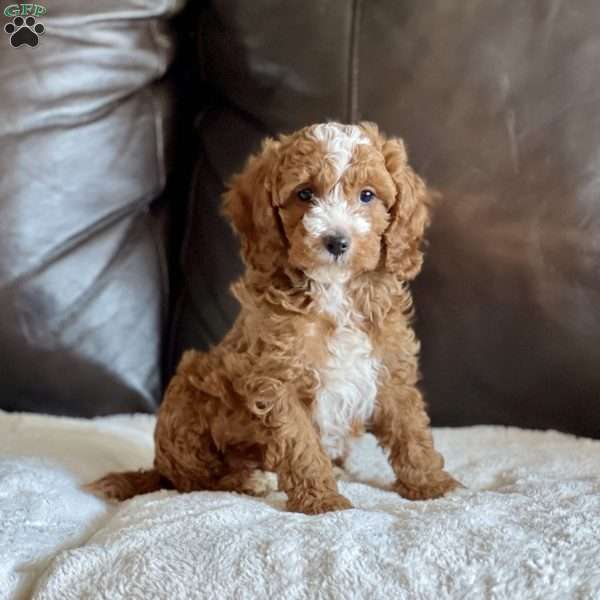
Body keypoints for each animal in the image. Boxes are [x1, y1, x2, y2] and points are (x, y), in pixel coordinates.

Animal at [90, 122, 460, 516]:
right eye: (304, 194)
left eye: (367, 195)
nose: (336, 241)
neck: (335, 290)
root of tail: (158, 468)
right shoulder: (278, 380)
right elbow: (301, 446)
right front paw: (322, 501)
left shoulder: (389, 367)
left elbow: (411, 430)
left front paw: (433, 485)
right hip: (189, 390)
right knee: (192, 480)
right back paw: (250, 479)